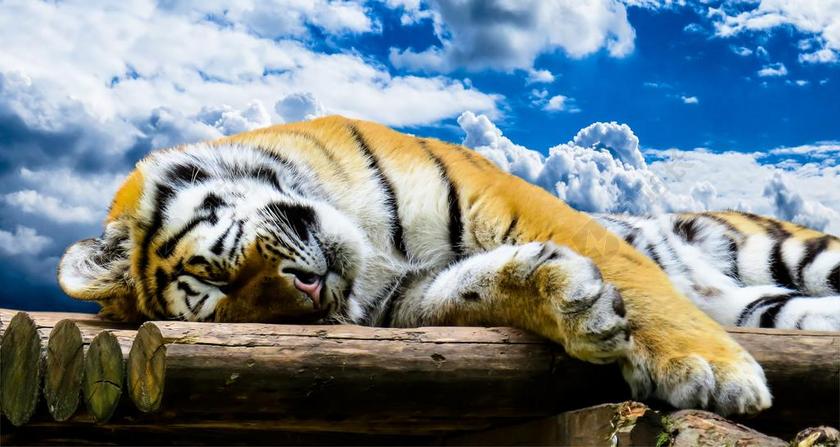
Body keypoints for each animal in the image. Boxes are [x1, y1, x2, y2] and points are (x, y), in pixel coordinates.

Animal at [56, 115, 837, 417]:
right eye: (235, 308)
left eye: (221, 281)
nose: (312, 292)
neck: (370, 247)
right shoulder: (407, 297)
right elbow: (473, 289)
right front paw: (575, 301)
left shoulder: (510, 197)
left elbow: (637, 274)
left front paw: (707, 369)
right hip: (771, 302)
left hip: (789, 250)